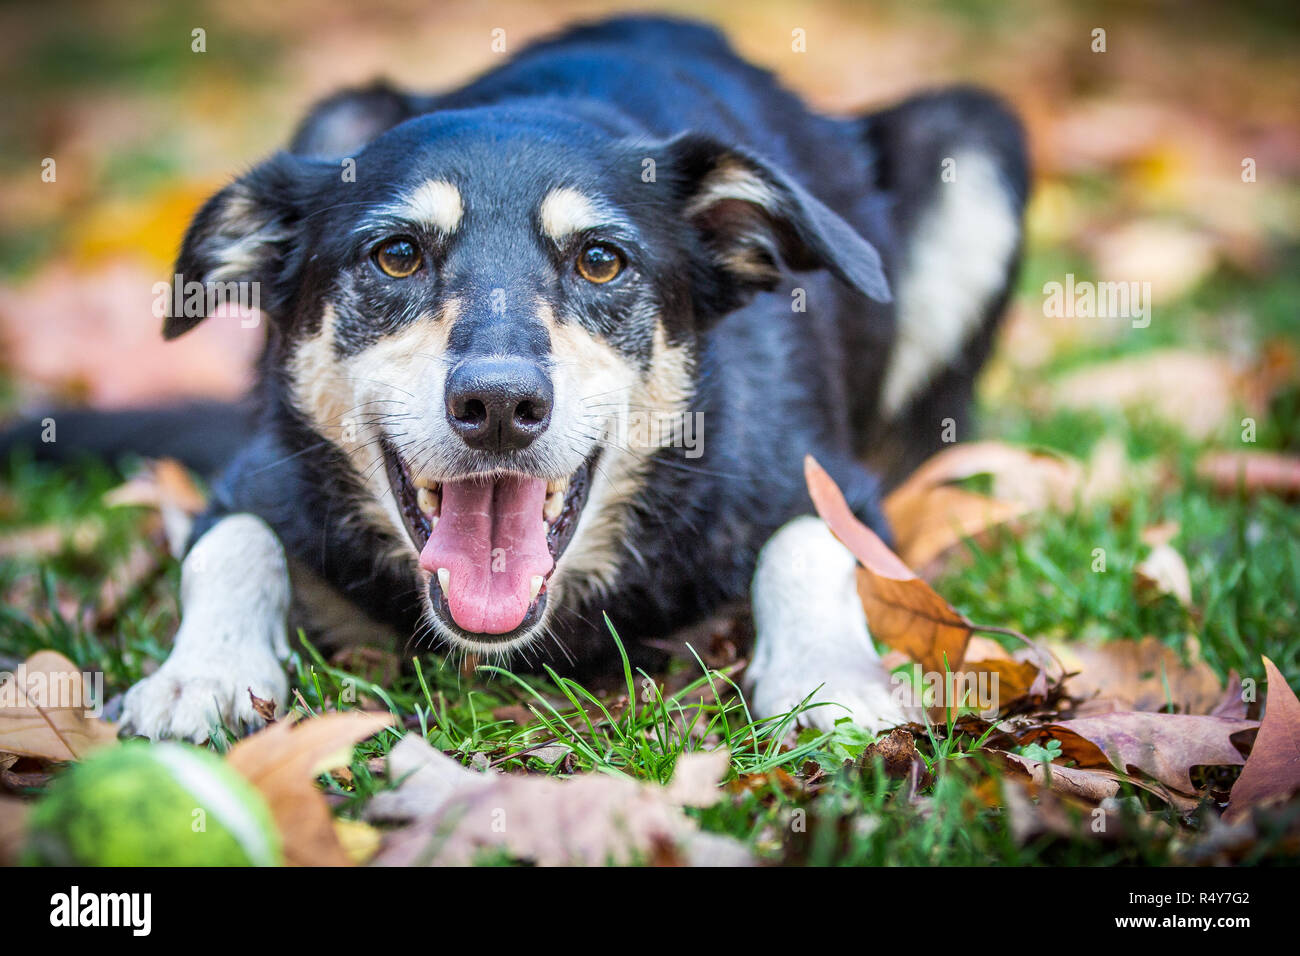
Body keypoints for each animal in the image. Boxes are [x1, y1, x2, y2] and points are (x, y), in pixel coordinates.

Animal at [12, 18, 1024, 743]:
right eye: (396, 254)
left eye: (602, 262)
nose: (498, 404)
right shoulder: (256, 475)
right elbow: (228, 543)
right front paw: (203, 673)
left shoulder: (826, 477)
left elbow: (813, 544)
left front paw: (834, 683)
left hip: (976, 136)